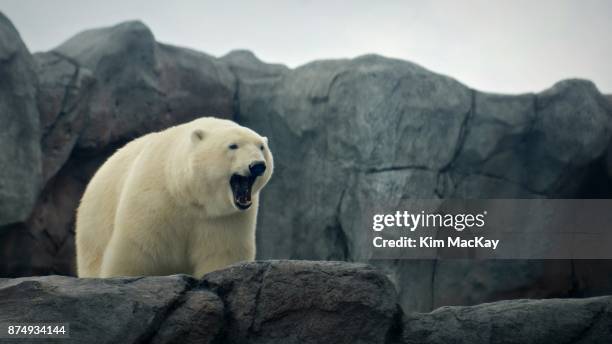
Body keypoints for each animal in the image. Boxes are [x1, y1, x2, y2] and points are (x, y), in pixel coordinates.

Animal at [74, 117, 272, 278]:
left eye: (261, 147)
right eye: (233, 145)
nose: (257, 165)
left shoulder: (224, 218)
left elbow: (221, 253)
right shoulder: (153, 201)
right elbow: (137, 251)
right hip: (93, 226)